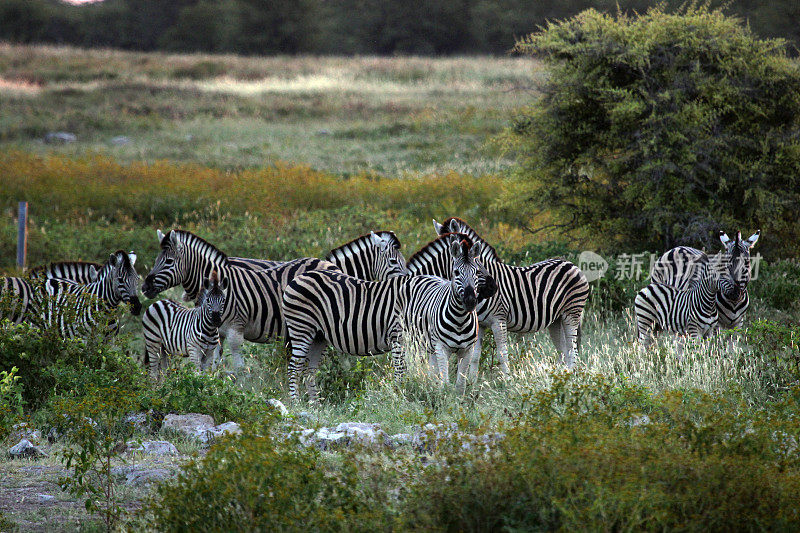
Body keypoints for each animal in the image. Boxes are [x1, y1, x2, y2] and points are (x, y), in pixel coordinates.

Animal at [141, 227, 340, 368]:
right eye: (156, 260)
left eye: (169, 261)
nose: (144, 287)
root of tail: (331, 265)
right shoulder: (217, 333)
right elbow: (215, 365)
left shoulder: (236, 330)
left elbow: (239, 367)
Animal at [284, 235, 484, 402]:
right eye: (456, 272)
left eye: (477, 272)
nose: (471, 302)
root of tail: (301, 276)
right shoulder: (398, 339)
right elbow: (402, 373)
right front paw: (400, 398)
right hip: (301, 329)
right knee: (294, 367)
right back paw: (296, 404)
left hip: (319, 337)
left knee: (310, 370)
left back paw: (314, 404)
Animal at [428, 216, 592, 370]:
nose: (492, 288)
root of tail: (571, 264)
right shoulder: (481, 324)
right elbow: (475, 357)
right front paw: (472, 381)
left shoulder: (498, 320)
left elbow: (502, 354)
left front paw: (506, 379)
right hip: (557, 319)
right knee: (564, 351)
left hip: (572, 312)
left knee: (572, 351)